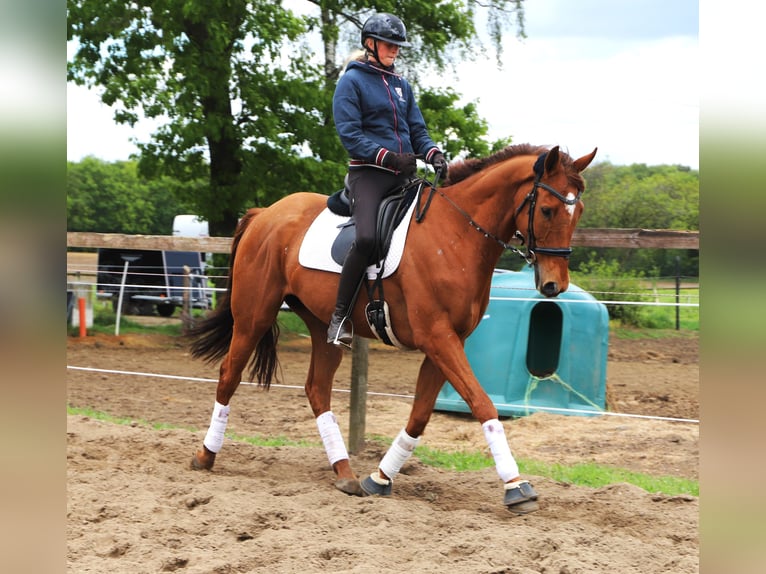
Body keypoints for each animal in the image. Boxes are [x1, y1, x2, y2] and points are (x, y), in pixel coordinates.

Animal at [189, 143, 597, 515]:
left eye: (578, 212)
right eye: (547, 209)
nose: (554, 286)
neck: (456, 235)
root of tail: (266, 213)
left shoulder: (447, 343)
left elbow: (419, 416)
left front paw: (380, 478)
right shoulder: (438, 338)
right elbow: (483, 404)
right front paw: (516, 485)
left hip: (322, 326)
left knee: (317, 389)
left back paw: (346, 474)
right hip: (254, 315)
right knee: (229, 374)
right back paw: (205, 456)